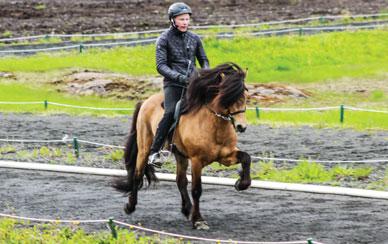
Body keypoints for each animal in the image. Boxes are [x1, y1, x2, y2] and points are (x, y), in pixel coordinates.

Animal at [112, 62, 252, 230]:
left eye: (245, 96)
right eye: (228, 97)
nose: (241, 126)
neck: (215, 125)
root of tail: (146, 101)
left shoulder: (226, 156)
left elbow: (246, 158)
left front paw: (241, 184)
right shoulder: (197, 160)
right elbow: (197, 190)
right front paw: (198, 220)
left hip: (180, 154)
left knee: (180, 181)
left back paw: (187, 210)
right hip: (144, 148)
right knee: (138, 175)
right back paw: (130, 206)